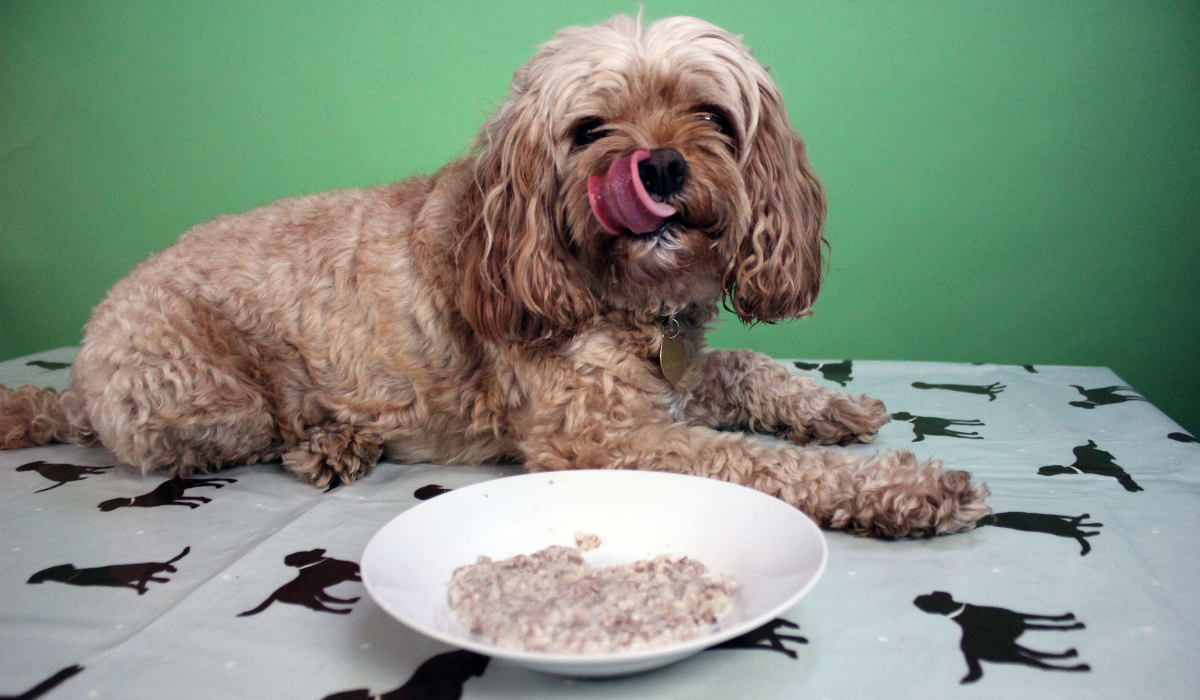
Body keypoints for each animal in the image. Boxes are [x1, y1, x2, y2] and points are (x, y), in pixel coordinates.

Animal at [0, 15, 988, 537]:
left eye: (712, 115)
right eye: (590, 130)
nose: (662, 166)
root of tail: (77, 372)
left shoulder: (668, 378)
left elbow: (742, 368)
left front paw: (831, 407)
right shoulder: (600, 437)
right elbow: (752, 463)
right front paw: (908, 487)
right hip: (207, 388)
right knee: (243, 427)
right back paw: (329, 439)